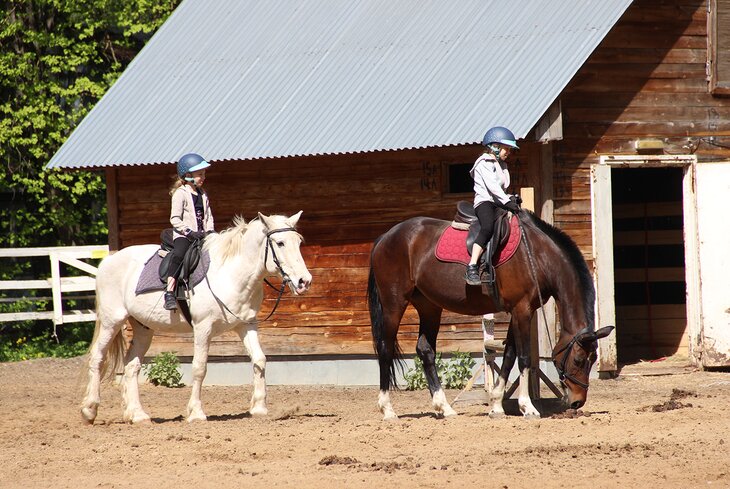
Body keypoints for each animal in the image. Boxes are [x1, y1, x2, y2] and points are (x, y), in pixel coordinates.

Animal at [81, 212, 312, 422]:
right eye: (280, 243)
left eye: (299, 242)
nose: (304, 281)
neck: (229, 274)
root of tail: (108, 260)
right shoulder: (203, 328)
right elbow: (200, 367)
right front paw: (196, 413)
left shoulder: (247, 325)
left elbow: (259, 359)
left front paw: (259, 408)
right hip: (112, 322)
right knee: (97, 358)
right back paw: (89, 409)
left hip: (143, 329)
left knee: (131, 367)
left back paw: (137, 415)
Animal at [366, 207, 612, 420]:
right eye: (579, 360)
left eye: (593, 360)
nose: (578, 401)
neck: (538, 255)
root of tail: (386, 236)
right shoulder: (522, 310)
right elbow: (524, 357)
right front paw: (527, 407)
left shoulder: (520, 310)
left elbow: (510, 354)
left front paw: (496, 404)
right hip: (393, 304)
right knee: (386, 349)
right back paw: (388, 410)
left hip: (429, 306)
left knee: (425, 350)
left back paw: (444, 407)